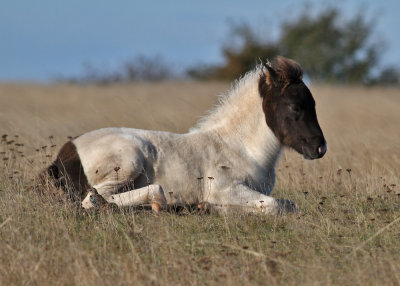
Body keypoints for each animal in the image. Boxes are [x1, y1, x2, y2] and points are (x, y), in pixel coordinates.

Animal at [47, 55, 326, 213]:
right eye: (295, 106)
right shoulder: (224, 188)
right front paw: (206, 206)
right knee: (94, 199)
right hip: (127, 162)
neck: (240, 148)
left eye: (314, 104)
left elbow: (288, 205)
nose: (319, 148)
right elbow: (276, 206)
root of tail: (66, 152)